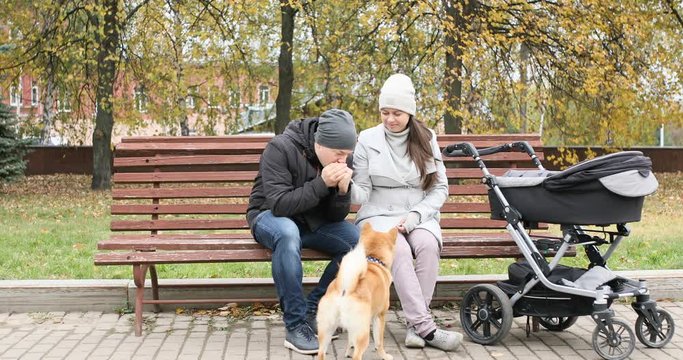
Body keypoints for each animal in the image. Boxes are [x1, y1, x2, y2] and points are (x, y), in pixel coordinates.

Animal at [318, 224, 398, 358]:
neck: (373, 259)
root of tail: (345, 288)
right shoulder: (380, 316)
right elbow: (379, 342)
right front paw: (384, 356)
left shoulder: (353, 328)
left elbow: (350, 342)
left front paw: (347, 352)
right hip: (363, 331)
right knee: (358, 355)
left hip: (327, 329)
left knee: (320, 354)